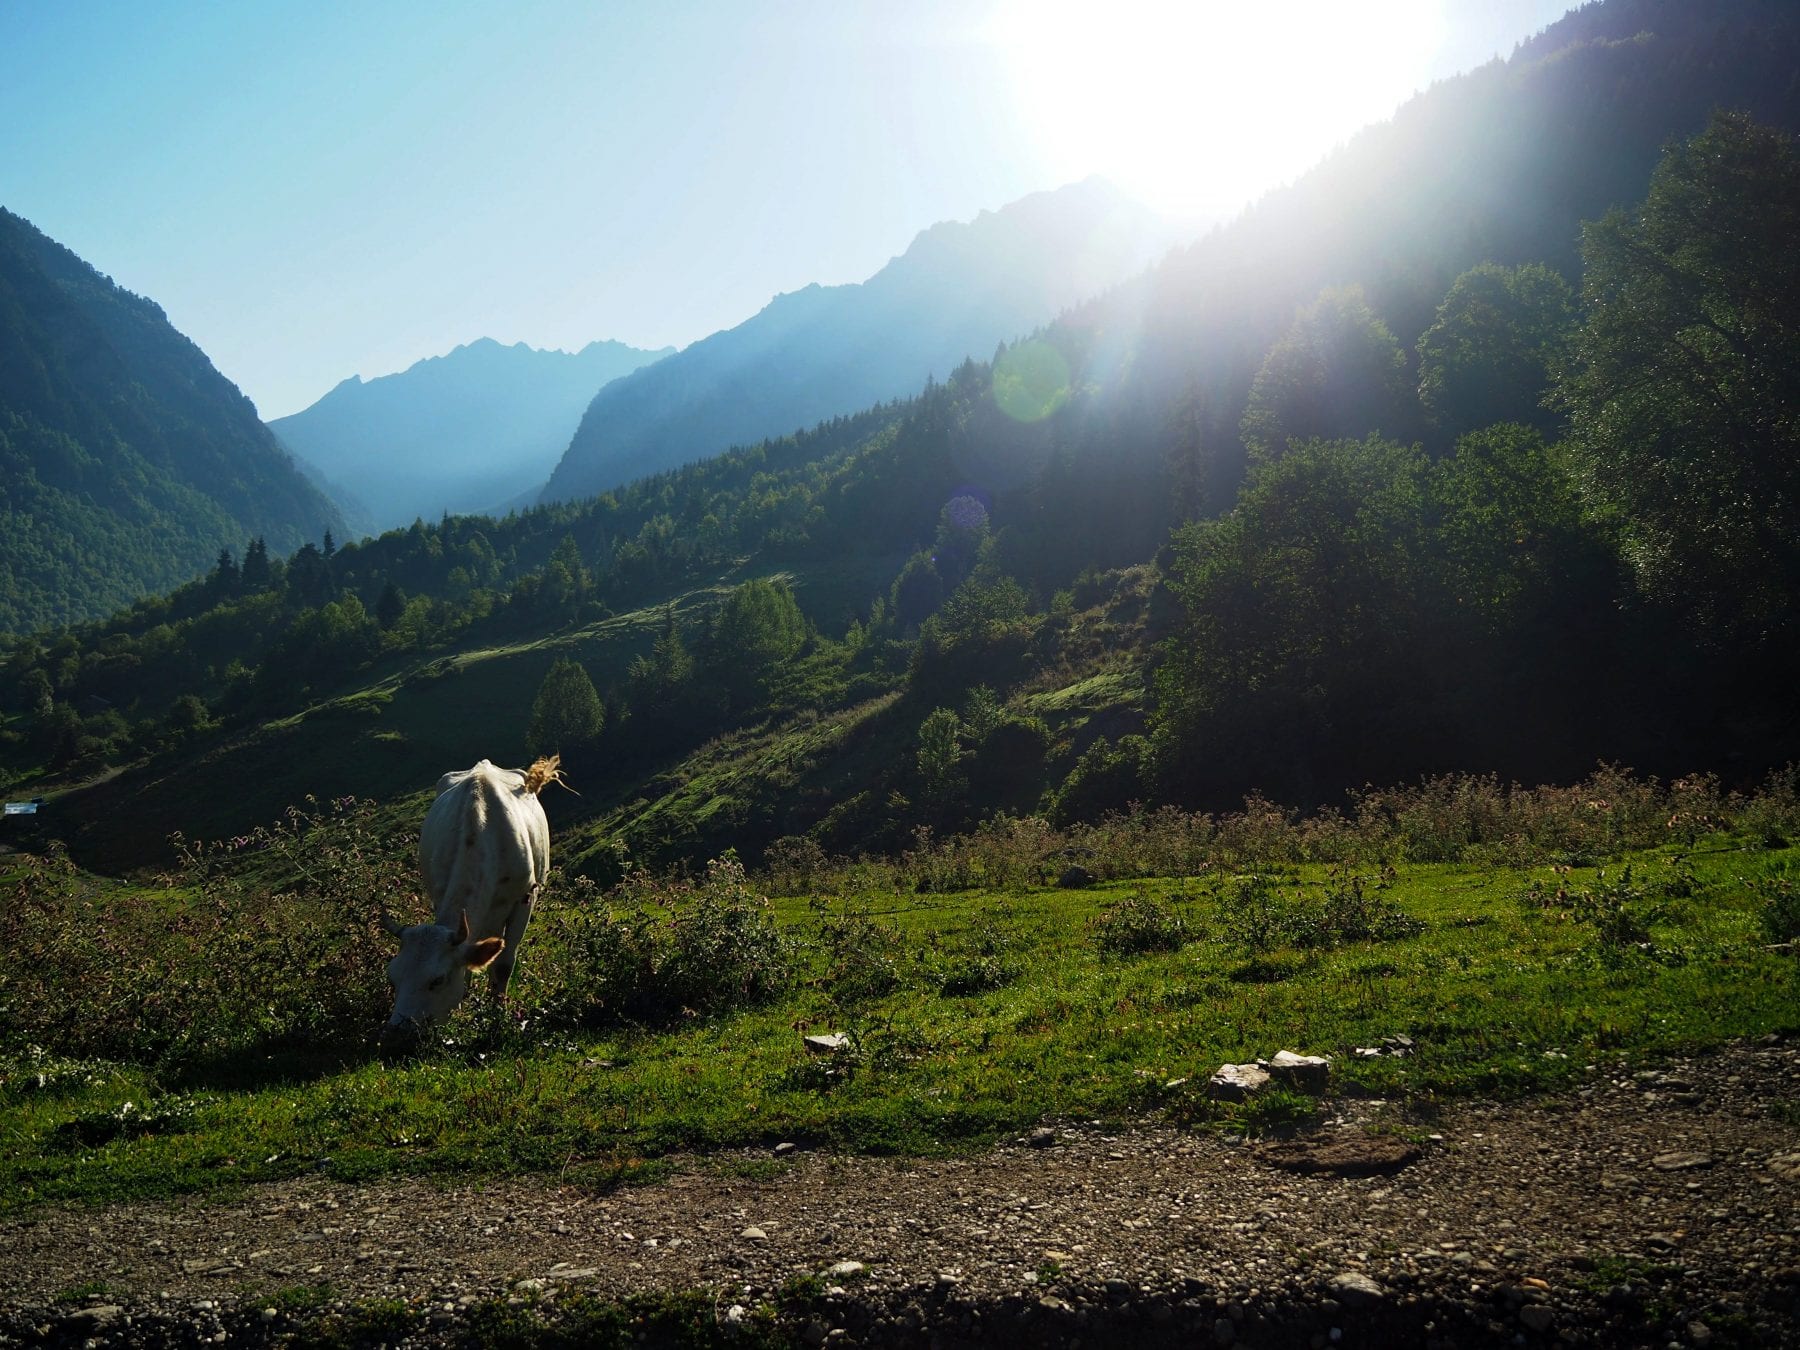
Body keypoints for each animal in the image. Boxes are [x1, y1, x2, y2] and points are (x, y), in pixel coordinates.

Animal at [372, 756, 554, 1051]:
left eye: (437, 980)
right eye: (392, 977)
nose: (395, 1036)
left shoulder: (524, 900)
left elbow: (503, 965)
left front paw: (498, 1013)